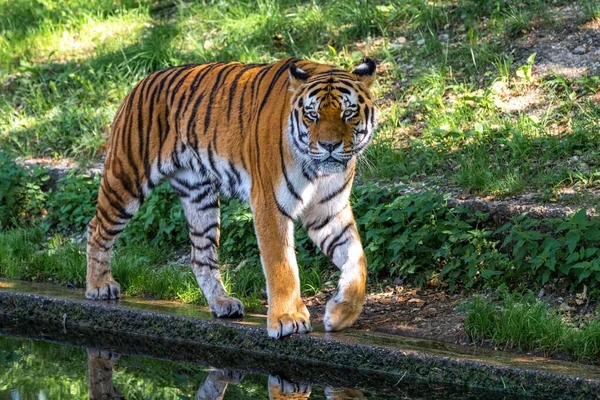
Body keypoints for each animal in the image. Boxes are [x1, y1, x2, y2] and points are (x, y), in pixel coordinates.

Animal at [85, 57, 376, 338]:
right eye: (312, 115)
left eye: (348, 113)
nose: (329, 145)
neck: (318, 172)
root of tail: (142, 81)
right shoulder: (270, 205)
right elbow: (281, 266)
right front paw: (288, 319)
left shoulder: (328, 212)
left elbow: (357, 259)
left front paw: (340, 314)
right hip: (127, 178)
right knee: (96, 228)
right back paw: (99, 286)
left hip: (199, 196)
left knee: (200, 255)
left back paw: (222, 303)